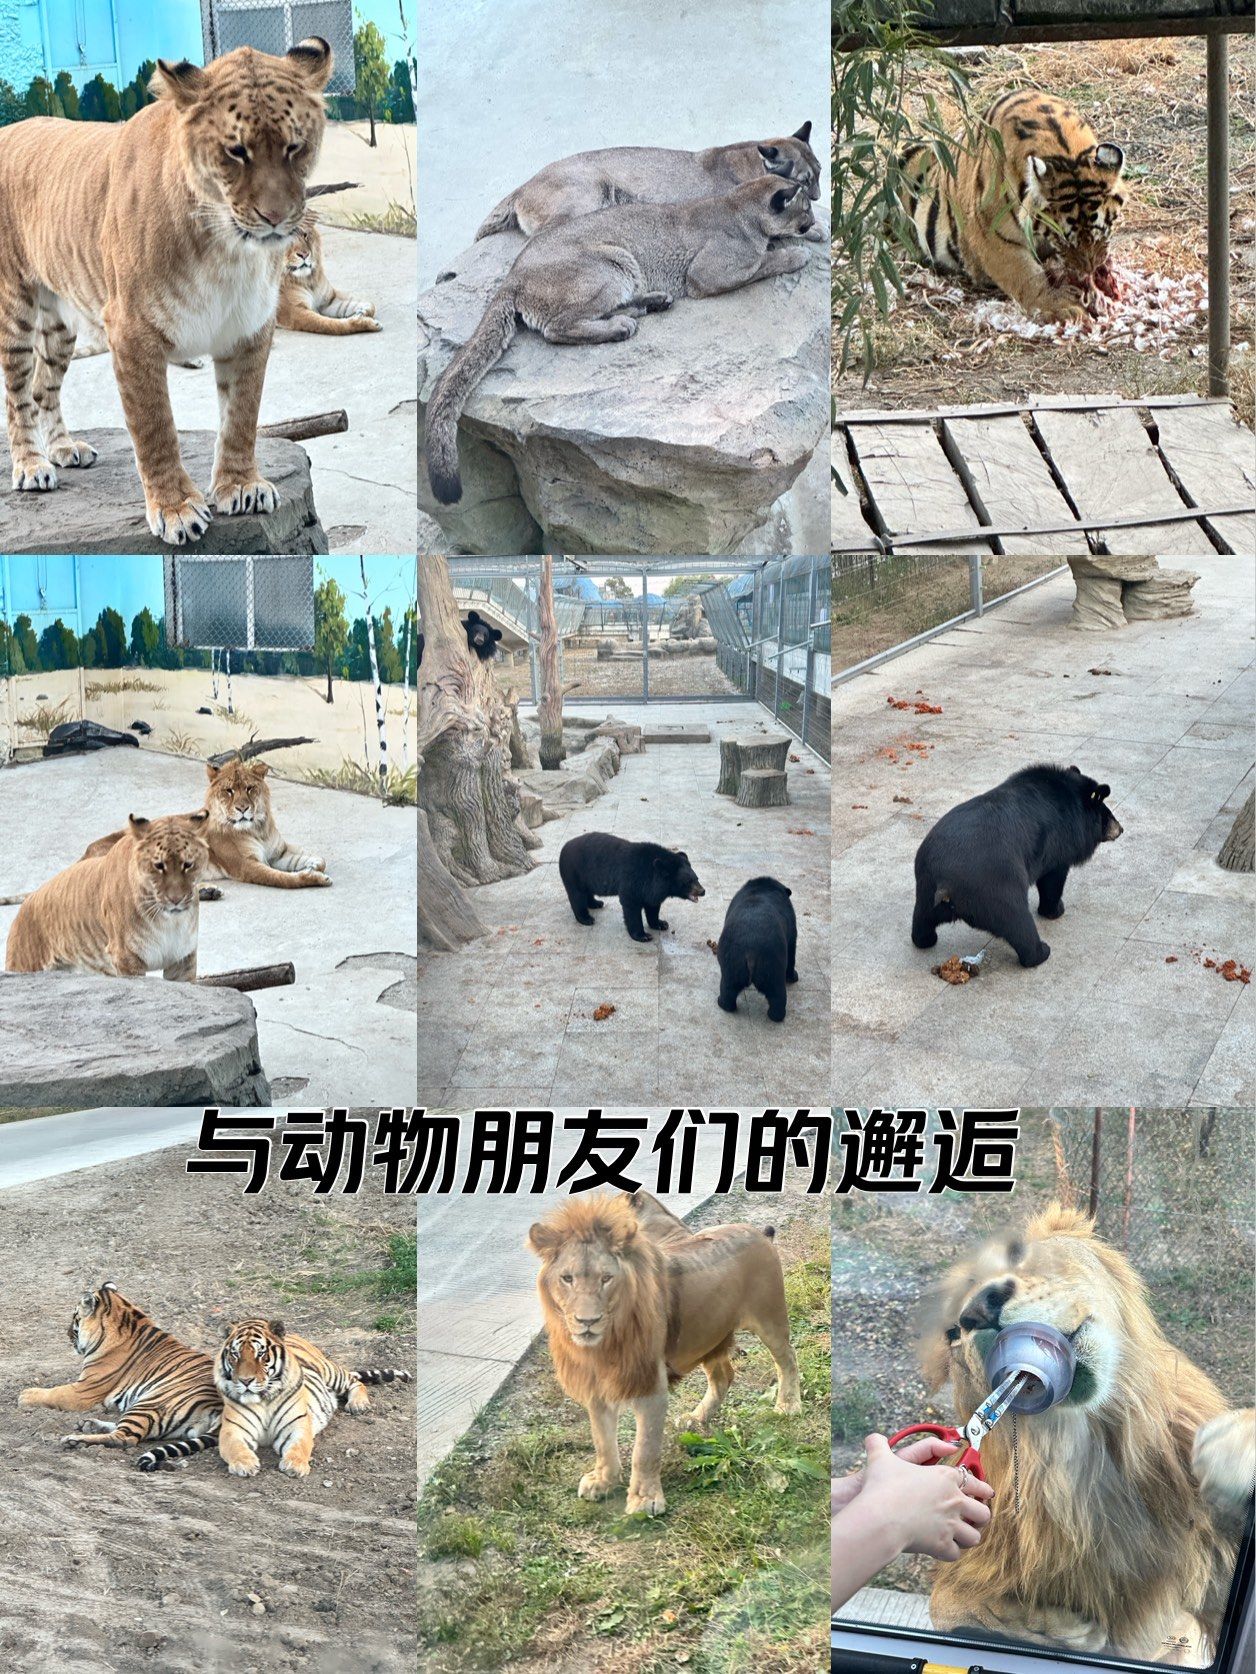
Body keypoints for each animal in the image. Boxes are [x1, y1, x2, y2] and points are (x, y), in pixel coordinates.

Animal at [0, 39, 332, 545]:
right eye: (236, 151)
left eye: (295, 147)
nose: (277, 218)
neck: (228, 249)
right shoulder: (130, 331)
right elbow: (155, 427)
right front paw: (176, 509)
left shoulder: (250, 327)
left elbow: (242, 415)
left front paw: (241, 486)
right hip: (16, 305)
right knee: (17, 394)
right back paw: (32, 466)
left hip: (60, 325)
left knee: (43, 388)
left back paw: (64, 448)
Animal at [5, 810, 209, 979]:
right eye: (159, 865)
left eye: (188, 864)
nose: (176, 900)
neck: (170, 920)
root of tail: (27, 900)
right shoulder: (126, 957)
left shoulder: (183, 959)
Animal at [18, 1282, 222, 1472]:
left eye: (75, 1317)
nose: (67, 1335)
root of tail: (220, 1408)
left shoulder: (83, 1390)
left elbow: (54, 1392)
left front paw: (25, 1395)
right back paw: (88, 1424)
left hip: (151, 1401)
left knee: (125, 1438)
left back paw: (75, 1439)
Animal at [215, 1317, 411, 1478]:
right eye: (235, 1354)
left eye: (261, 1354)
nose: (245, 1381)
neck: (263, 1399)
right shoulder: (233, 1429)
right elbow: (235, 1446)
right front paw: (245, 1464)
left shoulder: (298, 1426)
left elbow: (299, 1446)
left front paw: (295, 1465)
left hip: (330, 1372)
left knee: (354, 1381)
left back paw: (358, 1404)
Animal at [897, 91, 1127, 325]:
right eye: (1063, 240)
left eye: (1102, 232)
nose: (1088, 270)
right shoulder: (990, 234)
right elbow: (1024, 274)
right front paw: (1060, 306)